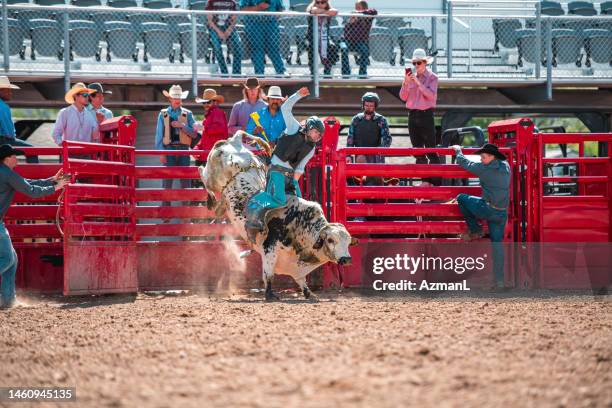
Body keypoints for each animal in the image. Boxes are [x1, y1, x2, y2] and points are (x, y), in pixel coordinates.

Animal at [198, 132, 356, 302]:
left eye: (348, 241)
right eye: (331, 240)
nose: (347, 259)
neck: (299, 225)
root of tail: (235, 142)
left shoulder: (295, 265)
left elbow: (301, 280)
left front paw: (309, 293)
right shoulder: (269, 249)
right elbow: (269, 275)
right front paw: (270, 295)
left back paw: (219, 205)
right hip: (213, 176)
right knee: (202, 173)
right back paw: (211, 199)